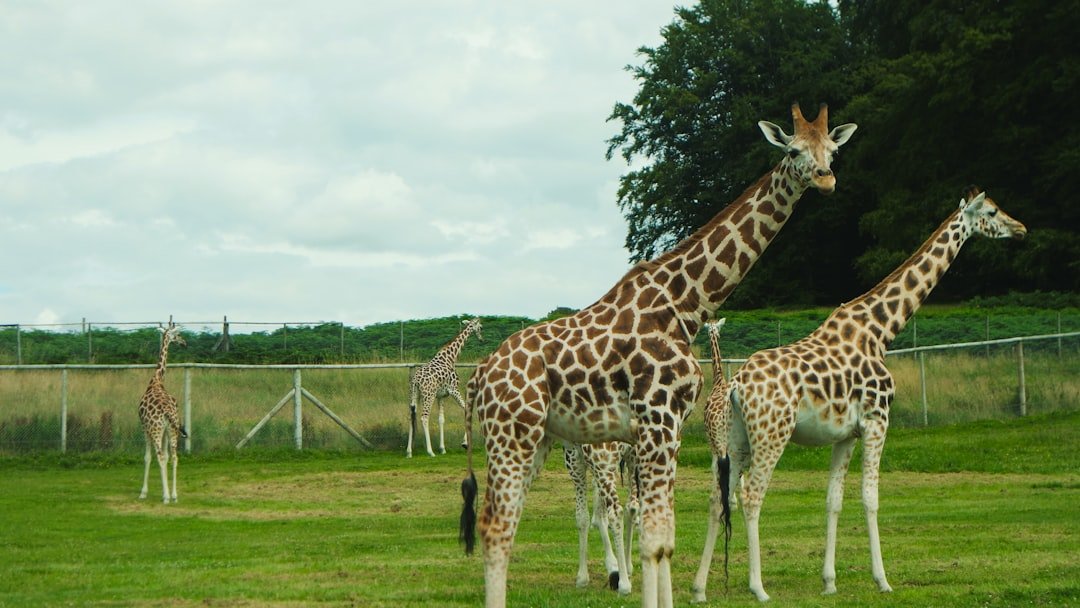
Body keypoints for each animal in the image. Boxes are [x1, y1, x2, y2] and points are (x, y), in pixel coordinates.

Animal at [138, 321, 188, 503]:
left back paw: (166, 497)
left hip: (156, 429)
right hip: (172, 430)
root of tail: (166, 410)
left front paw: (143, 493)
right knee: (173, 456)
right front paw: (165, 492)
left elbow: (147, 457)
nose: (184, 343)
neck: (157, 380)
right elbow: (167, 457)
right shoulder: (167, 429)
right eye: (177, 335)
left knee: (159, 456)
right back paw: (174, 495)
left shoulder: (144, 428)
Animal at [407, 318, 483, 458]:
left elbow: (441, 419)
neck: (450, 357)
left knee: (411, 417)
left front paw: (442, 448)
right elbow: (466, 410)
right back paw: (430, 451)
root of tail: (416, 381)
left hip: (414, 395)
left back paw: (409, 452)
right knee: (424, 417)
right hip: (428, 395)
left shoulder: (441, 396)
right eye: (481, 327)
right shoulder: (454, 390)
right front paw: (465, 443)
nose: (481, 339)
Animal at [458, 103, 857, 608]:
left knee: (503, 526)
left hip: (537, 439)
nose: (825, 178)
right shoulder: (657, 421)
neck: (684, 305)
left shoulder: (671, 429)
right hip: (513, 433)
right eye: (792, 150)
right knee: (497, 528)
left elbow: (664, 538)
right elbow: (651, 538)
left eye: (832, 149)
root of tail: (480, 374)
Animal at [712, 187, 1025, 602]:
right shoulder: (878, 421)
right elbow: (870, 498)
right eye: (991, 211)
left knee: (721, 494)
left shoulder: (845, 434)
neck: (881, 329)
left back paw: (705, 585)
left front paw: (829, 582)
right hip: (771, 435)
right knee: (750, 495)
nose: (1020, 228)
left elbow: (833, 500)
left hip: (737, 439)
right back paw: (757, 587)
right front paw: (882, 579)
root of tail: (737, 385)